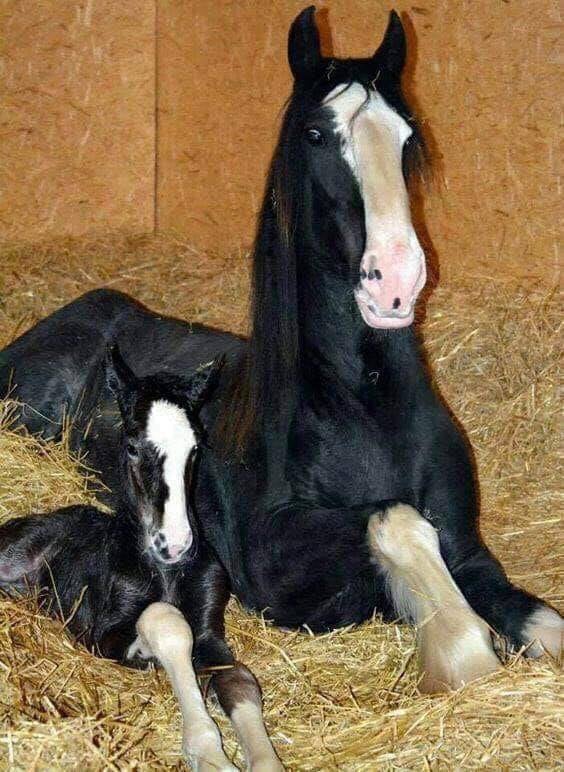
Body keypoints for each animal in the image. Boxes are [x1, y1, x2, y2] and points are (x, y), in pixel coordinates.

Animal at [0, 7, 560, 692]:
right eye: (317, 135)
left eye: (405, 139)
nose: (396, 284)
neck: (362, 409)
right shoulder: (275, 566)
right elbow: (397, 523)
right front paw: (463, 652)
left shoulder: (470, 553)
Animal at [0, 350, 282, 772]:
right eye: (133, 446)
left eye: (195, 448)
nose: (175, 545)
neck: (164, 571)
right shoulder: (103, 634)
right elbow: (164, 622)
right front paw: (208, 752)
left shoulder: (211, 633)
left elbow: (239, 680)